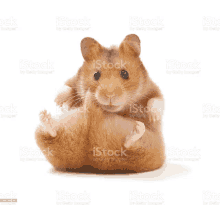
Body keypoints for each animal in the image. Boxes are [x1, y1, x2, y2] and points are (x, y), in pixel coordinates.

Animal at [35, 34, 165, 172]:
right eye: (96, 75)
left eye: (125, 73)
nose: (110, 96)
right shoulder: (74, 80)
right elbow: (66, 88)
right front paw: (60, 102)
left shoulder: (153, 89)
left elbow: (156, 100)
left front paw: (153, 117)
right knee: (52, 134)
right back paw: (45, 117)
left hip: (147, 151)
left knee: (130, 146)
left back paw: (137, 129)